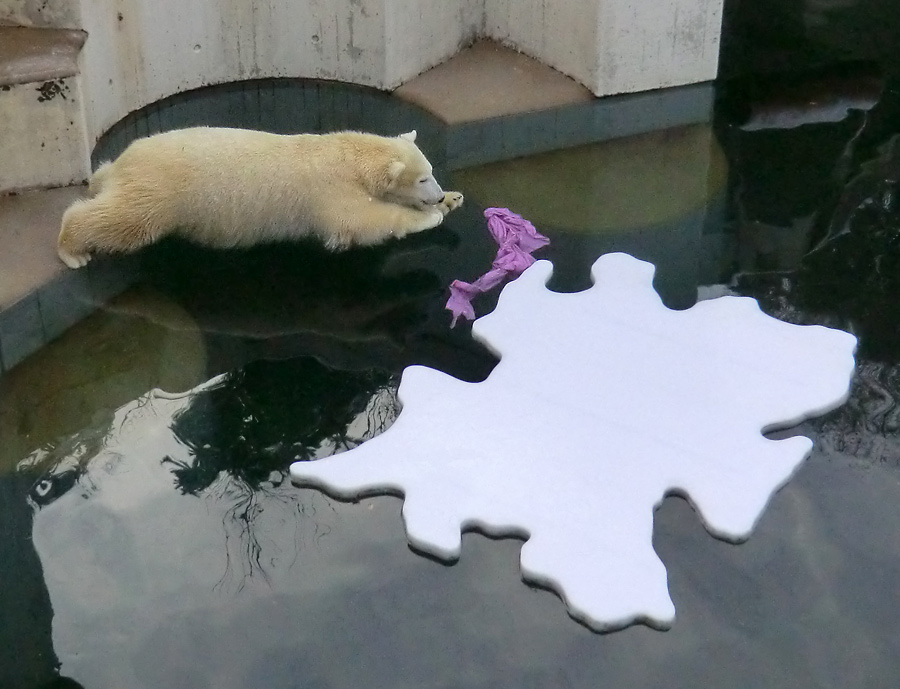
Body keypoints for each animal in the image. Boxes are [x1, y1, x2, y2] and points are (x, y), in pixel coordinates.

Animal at [57, 127, 464, 268]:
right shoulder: (330, 189)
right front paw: (430, 217)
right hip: (161, 190)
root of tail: (121, 162)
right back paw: (73, 250)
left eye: (432, 171)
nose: (436, 195)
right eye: (423, 177)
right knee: (126, 220)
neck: (348, 154)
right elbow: (361, 221)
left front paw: (453, 200)